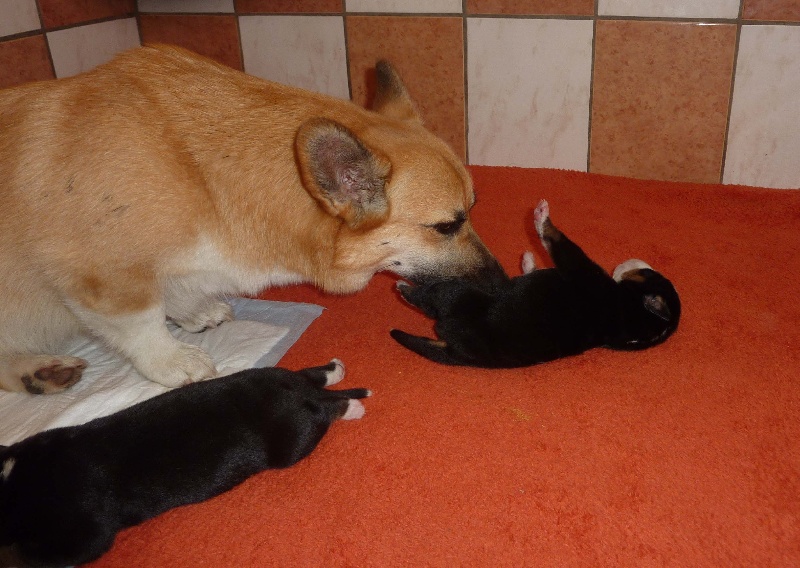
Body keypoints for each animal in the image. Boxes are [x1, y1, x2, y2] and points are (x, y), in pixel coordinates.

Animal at [0, 44, 506, 394]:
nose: (501, 282)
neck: (202, 176)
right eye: (446, 226)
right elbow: (141, 323)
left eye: (473, 210)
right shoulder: (101, 277)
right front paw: (172, 361)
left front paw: (194, 310)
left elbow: (176, 291)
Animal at [0, 359, 368, 567]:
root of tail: (299, 393)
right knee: (310, 376)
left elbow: (34, 555)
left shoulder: (87, 533)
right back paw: (335, 370)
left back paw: (351, 407)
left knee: (324, 410)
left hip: (292, 440)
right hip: (270, 377)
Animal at [391, 200, 680, 368]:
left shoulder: (580, 268)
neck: (627, 313)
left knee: (430, 299)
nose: (636, 259)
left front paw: (542, 217)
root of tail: (458, 351)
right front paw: (529, 259)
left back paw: (405, 290)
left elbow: (557, 240)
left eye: (647, 272)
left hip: (459, 293)